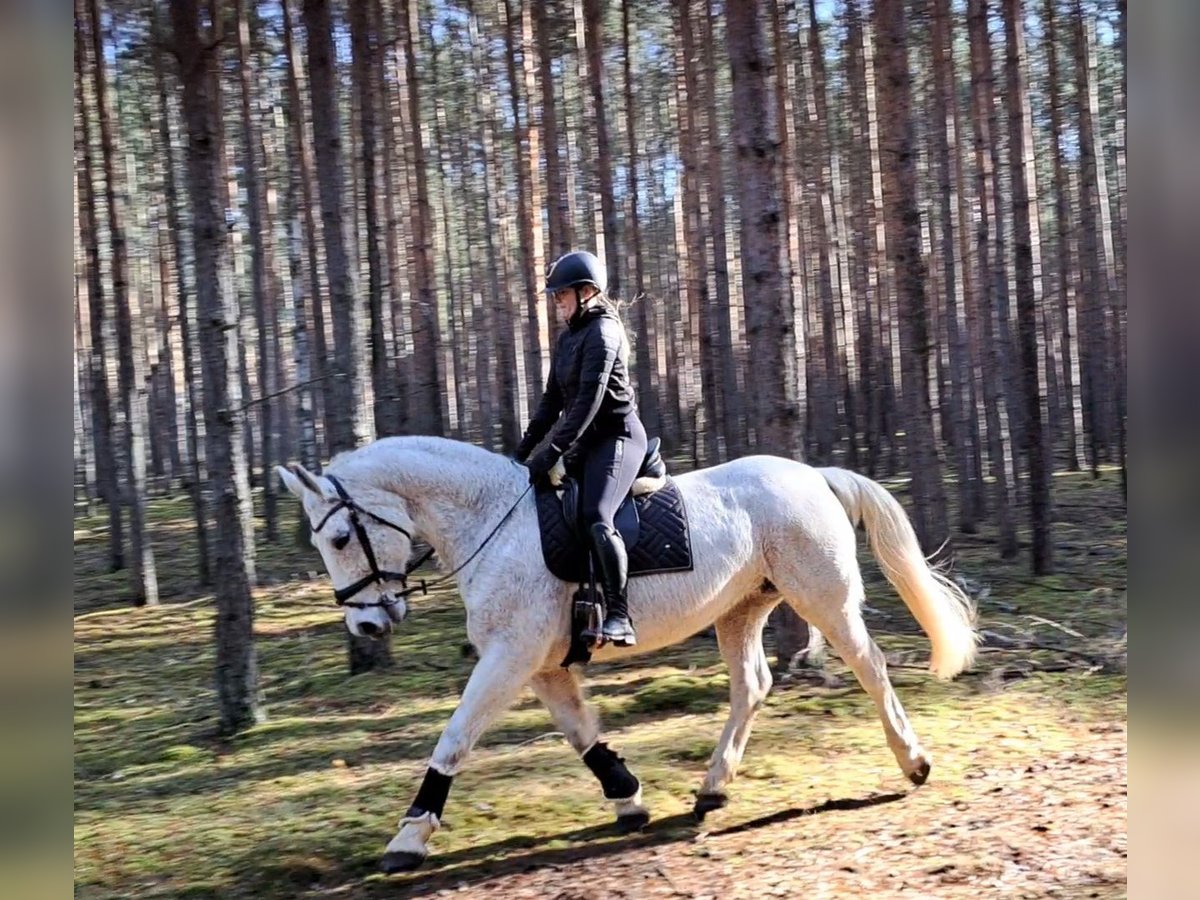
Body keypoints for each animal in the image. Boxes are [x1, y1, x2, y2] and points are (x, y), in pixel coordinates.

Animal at [278, 436, 974, 873]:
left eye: (338, 539)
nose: (368, 624)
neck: (490, 524)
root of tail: (812, 475)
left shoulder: (509, 657)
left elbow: (455, 738)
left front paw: (410, 836)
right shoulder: (543, 665)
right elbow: (580, 733)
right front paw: (628, 797)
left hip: (822, 597)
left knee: (869, 666)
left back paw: (914, 762)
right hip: (741, 609)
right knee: (752, 685)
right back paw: (713, 788)